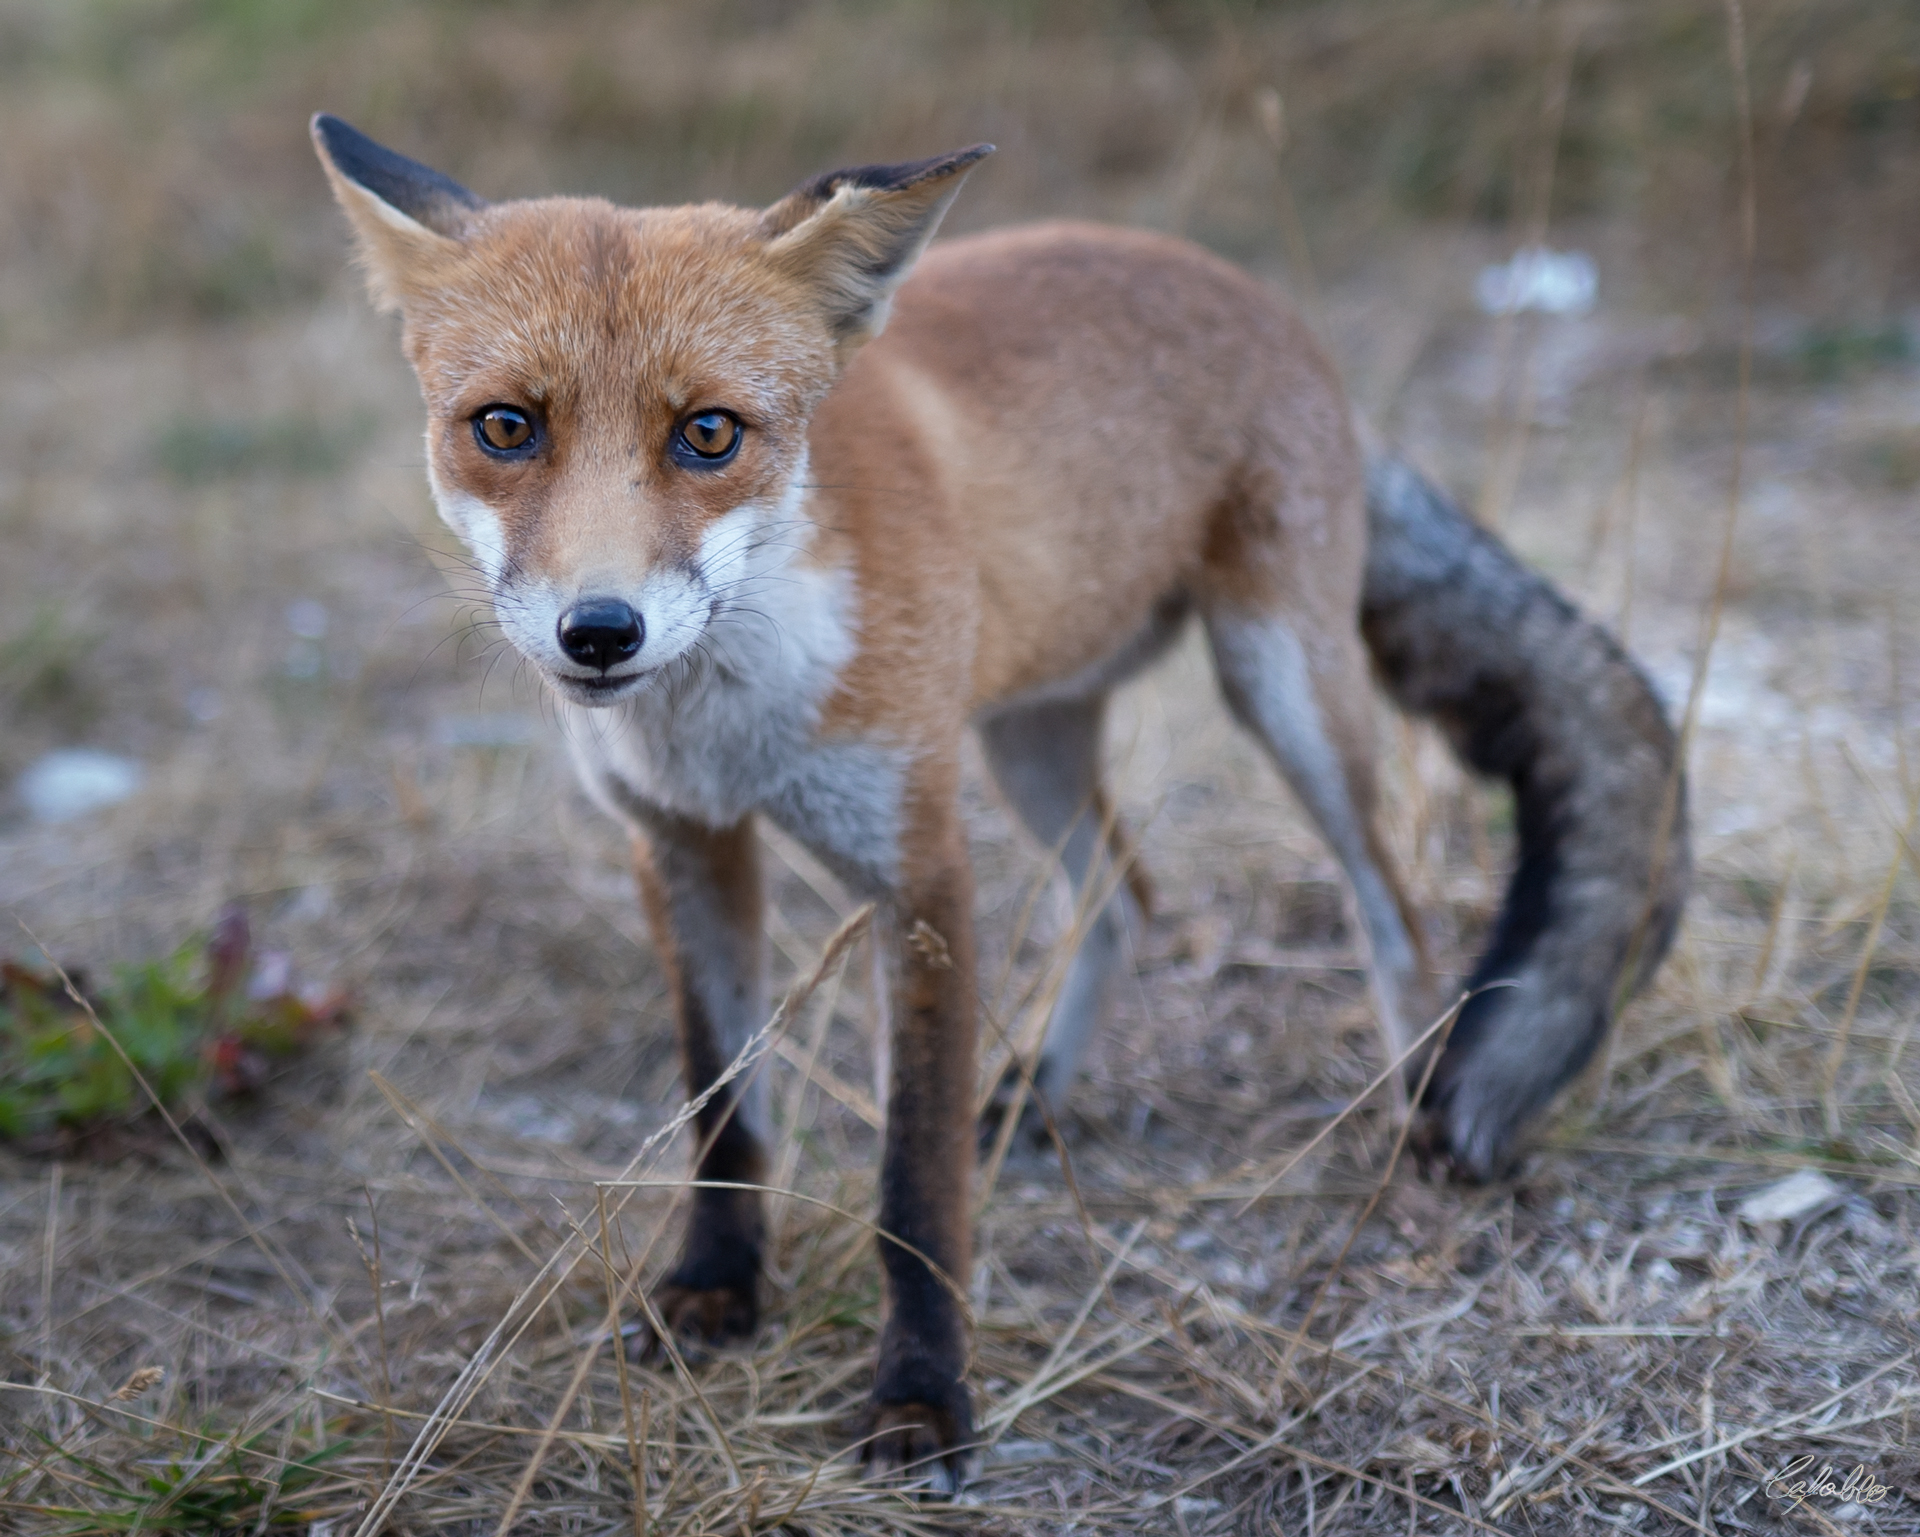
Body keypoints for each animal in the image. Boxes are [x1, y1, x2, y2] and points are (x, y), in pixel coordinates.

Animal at [312, 114, 1688, 1485]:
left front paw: (923, 1396)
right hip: (1033, 737)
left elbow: (915, 1185)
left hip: (1281, 689)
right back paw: (1035, 1092)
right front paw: (717, 1288)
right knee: (1127, 893)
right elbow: (724, 1110)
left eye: (709, 433)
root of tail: (1249, 292)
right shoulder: (685, 845)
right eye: (505, 427)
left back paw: (1408, 1117)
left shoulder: (920, 867)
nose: (599, 632)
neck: (729, 726)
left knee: (1392, 911)